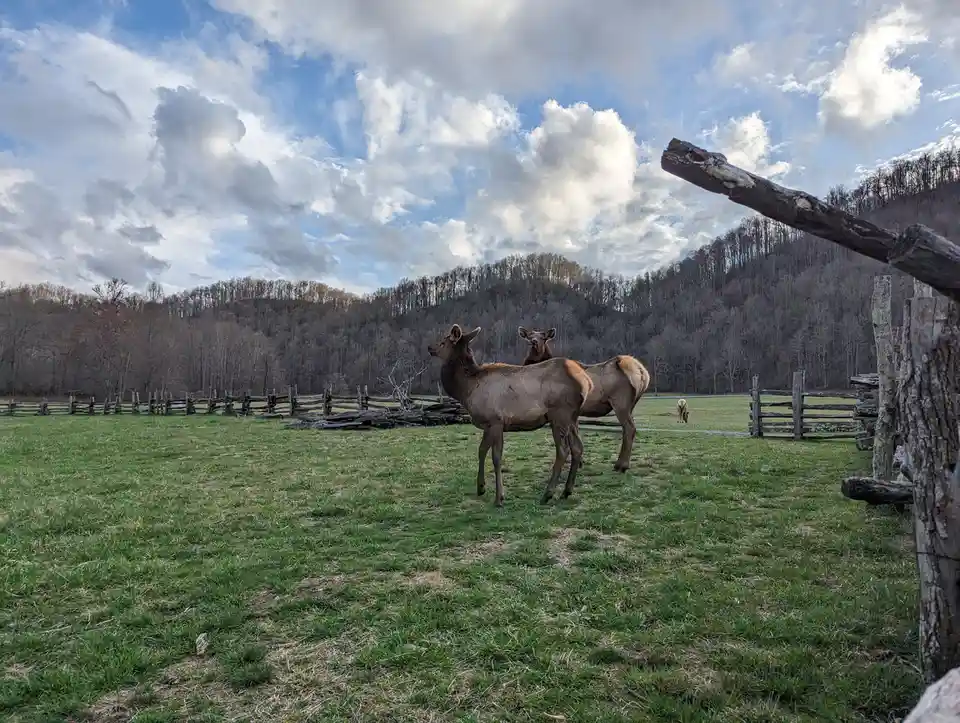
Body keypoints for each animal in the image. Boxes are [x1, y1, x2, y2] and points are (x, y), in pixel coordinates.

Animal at [427, 324, 593, 507]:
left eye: (443, 342)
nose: (430, 348)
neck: (467, 389)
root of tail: (586, 381)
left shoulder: (496, 420)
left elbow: (496, 457)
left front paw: (499, 497)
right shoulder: (489, 424)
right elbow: (481, 450)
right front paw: (481, 487)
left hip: (559, 414)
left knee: (563, 451)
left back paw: (547, 494)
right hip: (572, 418)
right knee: (578, 447)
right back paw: (566, 491)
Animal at [518, 327, 650, 473]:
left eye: (543, 337)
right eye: (529, 336)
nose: (534, 342)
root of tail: (642, 372)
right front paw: (580, 461)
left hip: (620, 401)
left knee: (629, 428)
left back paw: (621, 465)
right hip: (632, 403)